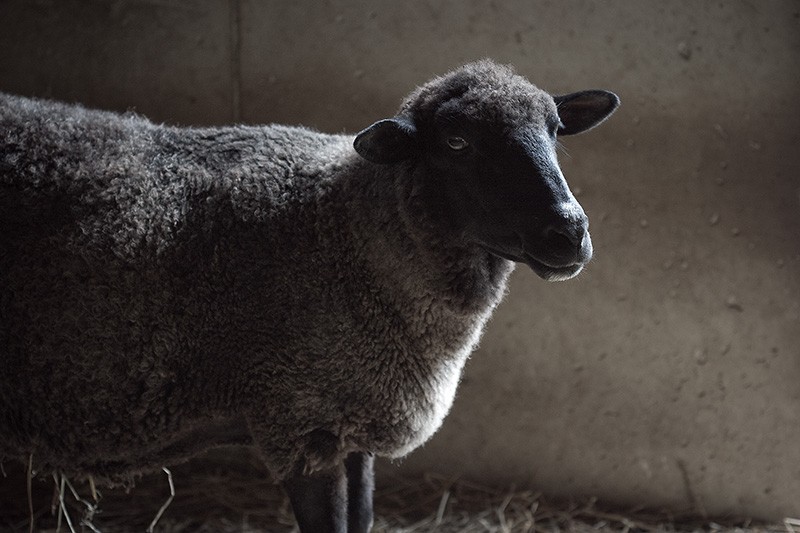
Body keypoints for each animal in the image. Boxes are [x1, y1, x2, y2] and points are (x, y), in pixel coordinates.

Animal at [0, 60, 618, 532]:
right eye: (457, 141)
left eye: (555, 130)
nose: (569, 233)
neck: (347, 232)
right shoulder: (299, 420)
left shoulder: (356, 423)